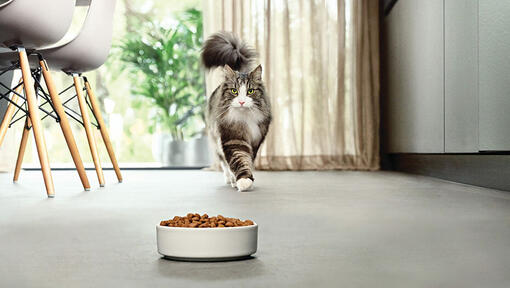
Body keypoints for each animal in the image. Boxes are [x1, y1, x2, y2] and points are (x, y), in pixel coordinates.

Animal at [200, 32, 272, 191]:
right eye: (234, 91)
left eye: (250, 91)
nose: (241, 102)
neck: (245, 119)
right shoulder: (233, 138)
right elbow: (239, 159)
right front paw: (243, 180)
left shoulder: (255, 140)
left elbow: (248, 160)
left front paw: (247, 179)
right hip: (216, 140)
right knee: (223, 162)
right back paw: (230, 179)